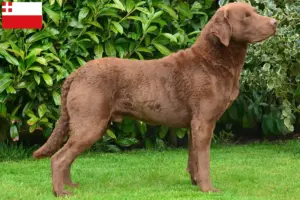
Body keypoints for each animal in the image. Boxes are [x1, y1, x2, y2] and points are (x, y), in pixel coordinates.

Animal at [33, 1, 276, 197]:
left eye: (254, 12)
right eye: (246, 16)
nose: (275, 22)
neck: (212, 61)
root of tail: (76, 73)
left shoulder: (193, 124)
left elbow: (193, 158)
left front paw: (195, 183)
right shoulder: (204, 121)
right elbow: (204, 159)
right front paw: (208, 189)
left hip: (84, 124)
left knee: (67, 156)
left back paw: (70, 186)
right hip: (91, 123)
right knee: (59, 158)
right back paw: (61, 192)